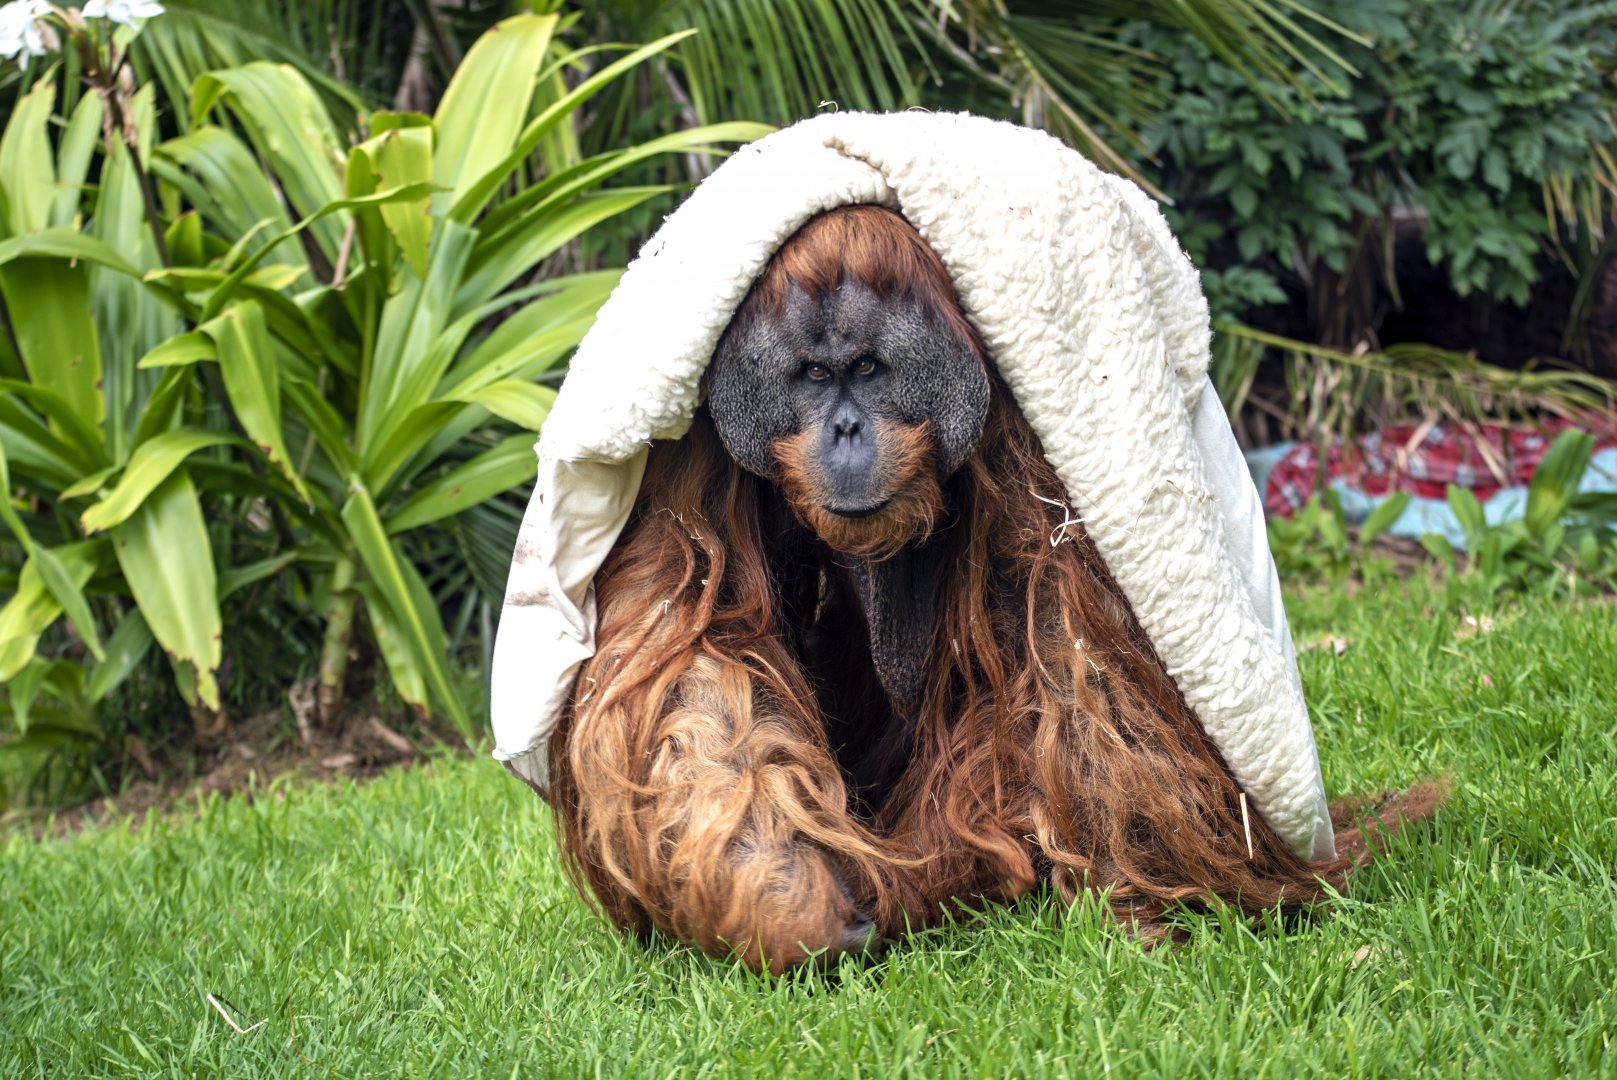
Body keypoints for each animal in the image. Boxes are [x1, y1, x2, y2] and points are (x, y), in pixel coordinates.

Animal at [542, 205, 1441, 973]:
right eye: (812, 375)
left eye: (869, 368)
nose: (845, 428)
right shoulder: (690, 437)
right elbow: (689, 617)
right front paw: (791, 900)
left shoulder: (1023, 403)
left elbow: (1063, 631)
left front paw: (1130, 912)